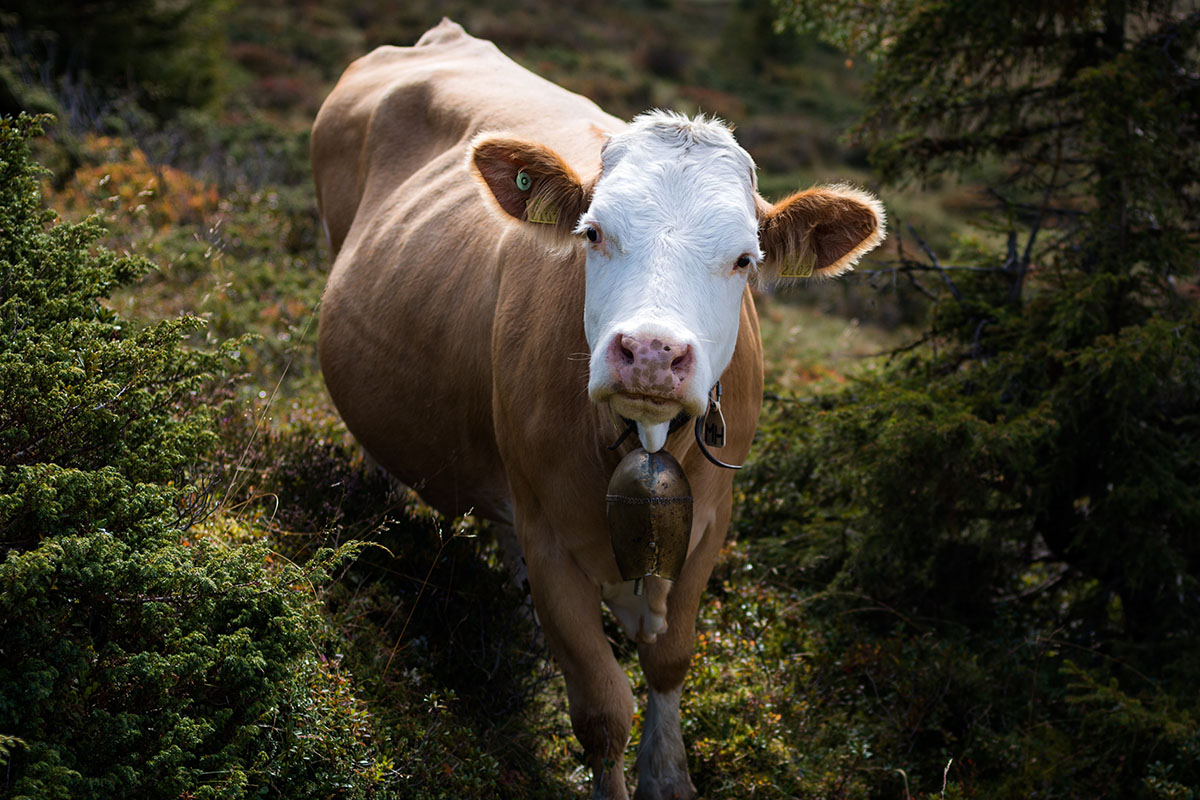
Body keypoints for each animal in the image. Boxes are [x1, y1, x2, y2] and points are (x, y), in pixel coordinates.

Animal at [311, 19, 884, 800]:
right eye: (593, 232)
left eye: (744, 258)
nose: (650, 351)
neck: (643, 441)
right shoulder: (553, 540)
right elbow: (603, 709)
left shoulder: (712, 522)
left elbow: (671, 658)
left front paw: (668, 776)